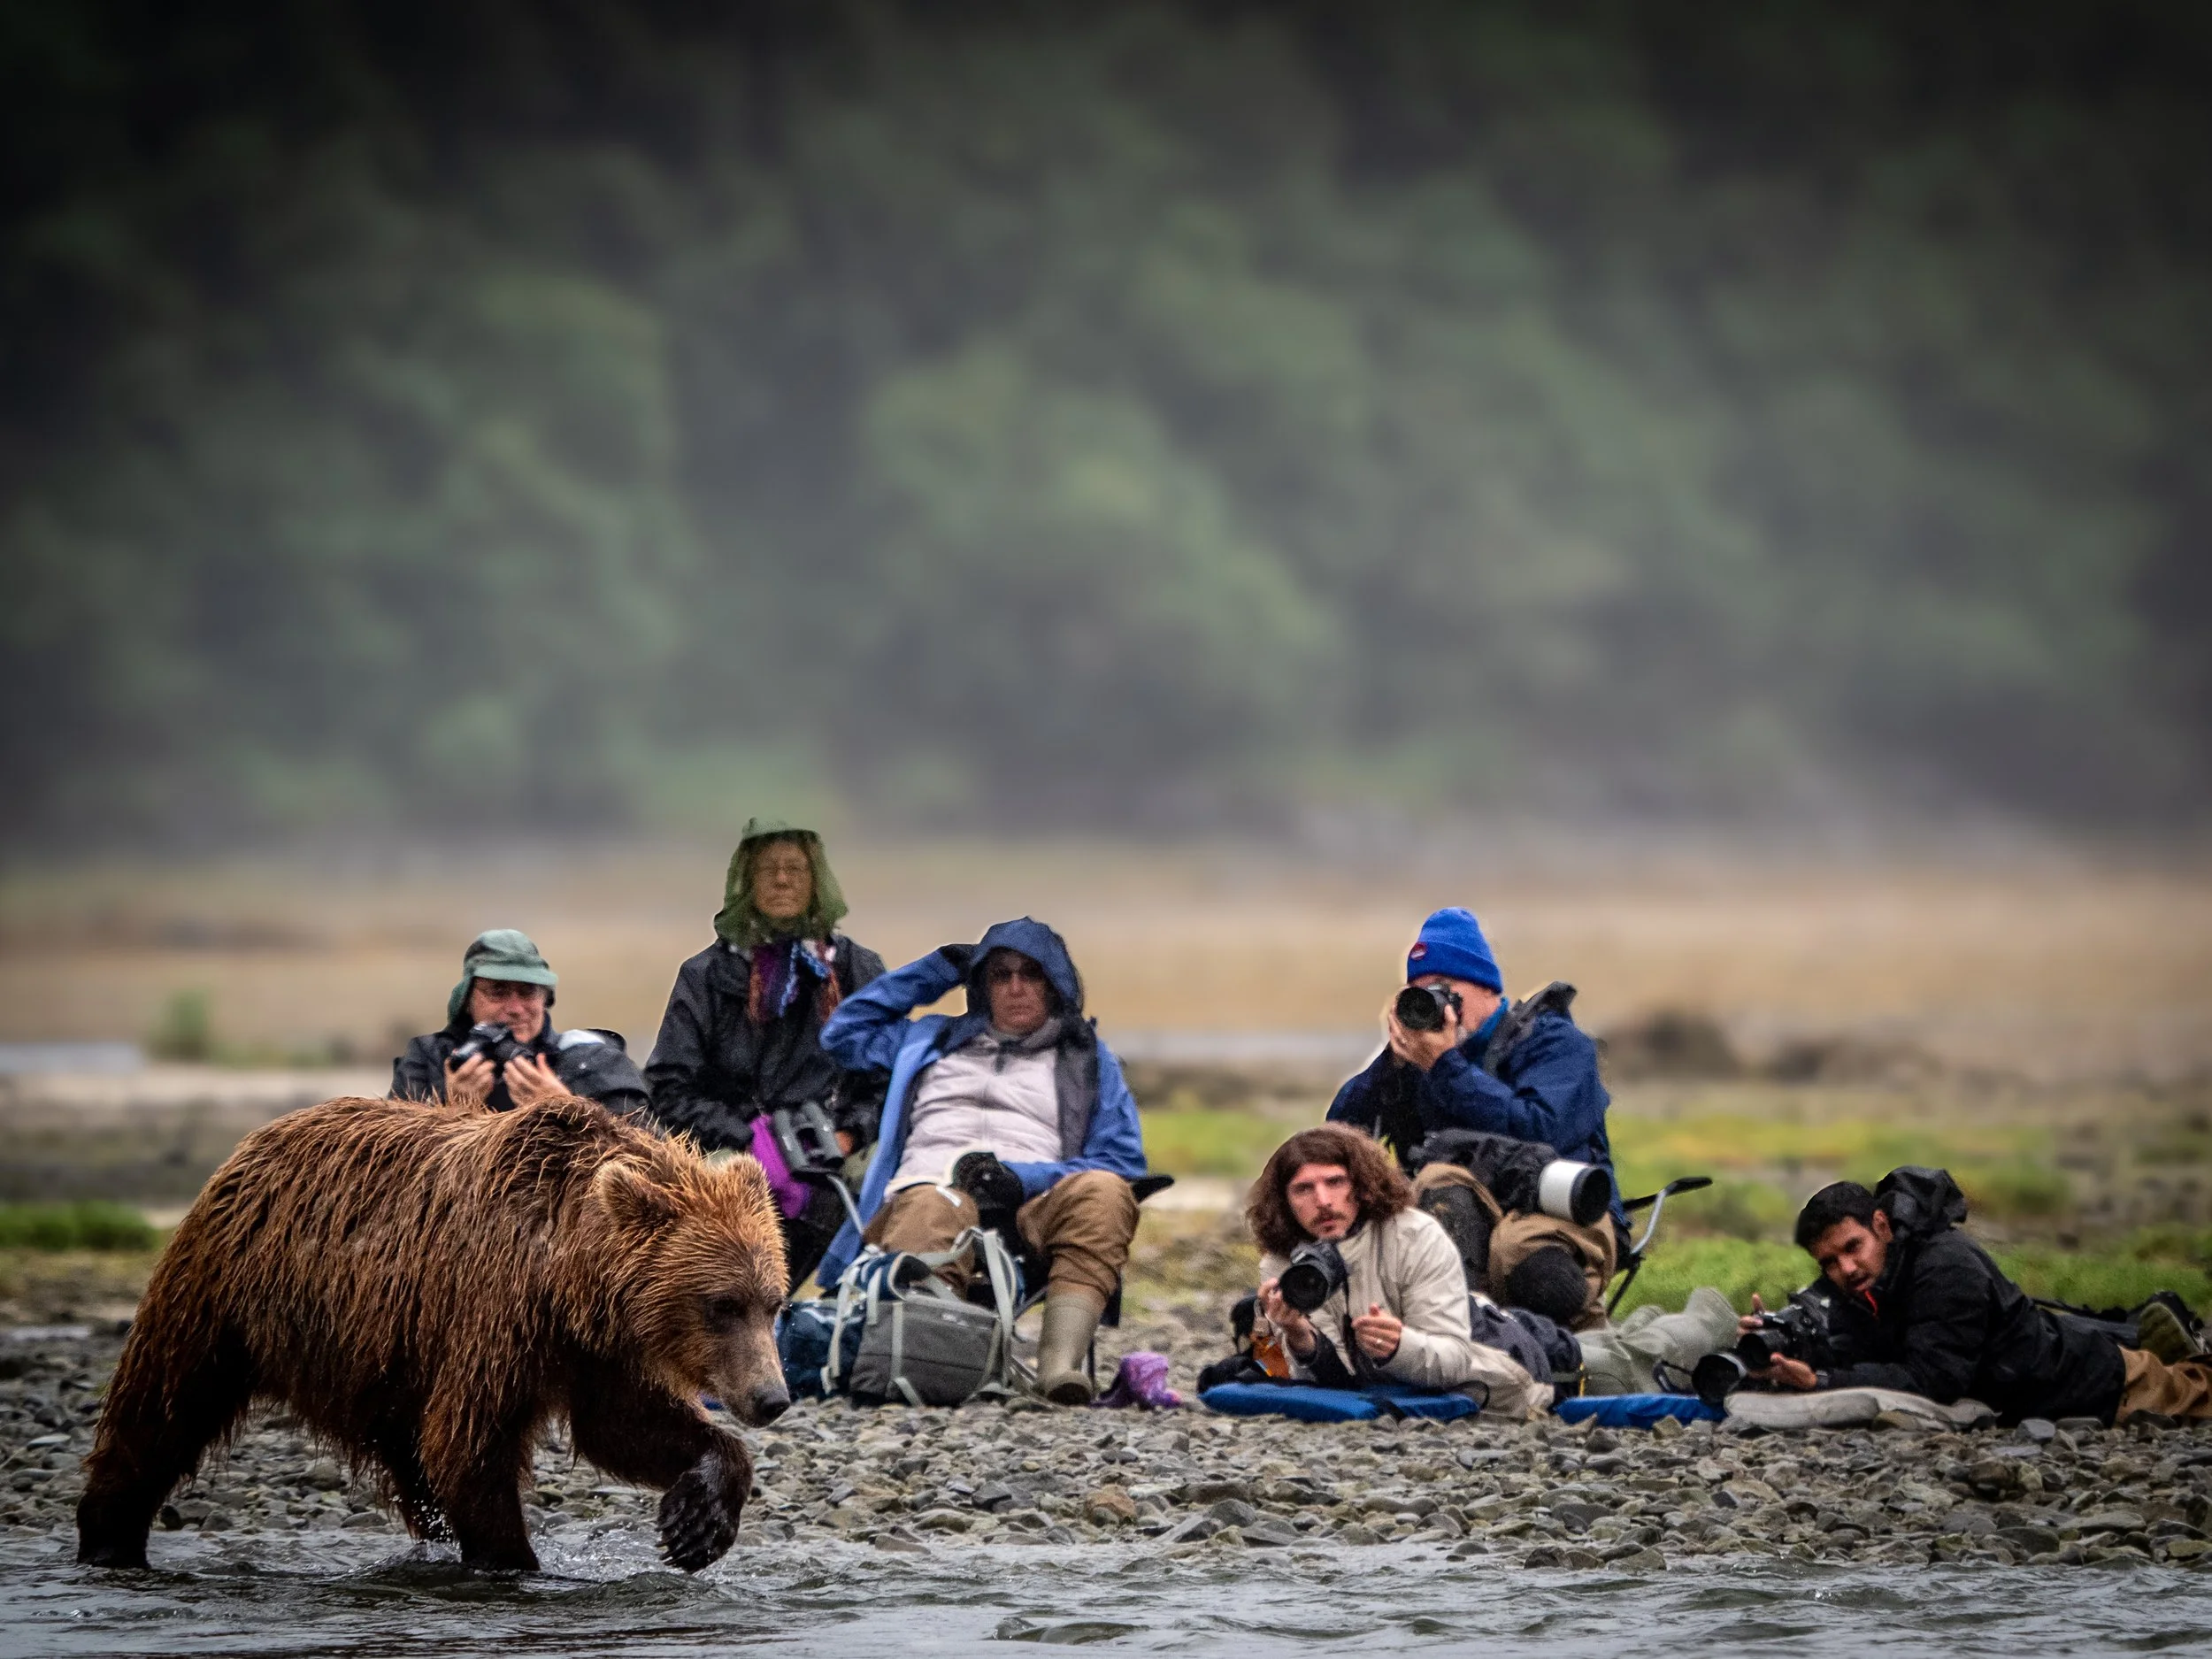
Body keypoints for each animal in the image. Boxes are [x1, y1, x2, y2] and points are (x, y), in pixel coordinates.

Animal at [76, 1093, 789, 1573]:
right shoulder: (493, 1313)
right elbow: (469, 1445)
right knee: (163, 1405)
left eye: (772, 1302)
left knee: (409, 1452)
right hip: (225, 1294)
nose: (772, 1397)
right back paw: (109, 1539)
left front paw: (697, 1522)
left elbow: (624, 1426)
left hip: (380, 1351)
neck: (565, 1274)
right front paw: (515, 1561)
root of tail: (251, 1141)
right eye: (721, 1303)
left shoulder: (597, 1347)